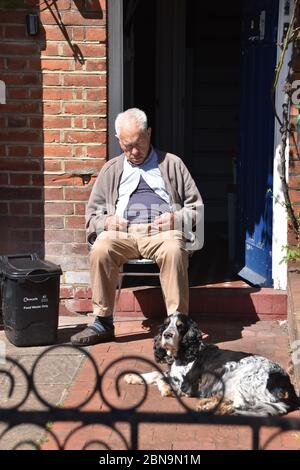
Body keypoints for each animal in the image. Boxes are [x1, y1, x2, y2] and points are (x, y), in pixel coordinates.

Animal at [125, 312, 300, 414]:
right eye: (166, 324)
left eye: (180, 327)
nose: (166, 335)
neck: (186, 352)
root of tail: (287, 384)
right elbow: (156, 373)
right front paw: (133, 377)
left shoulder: (185, 384)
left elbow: (162, 379)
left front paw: (166, 389)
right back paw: (210, 403)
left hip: (245, 381)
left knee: (242, 405)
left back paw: (209, 406)